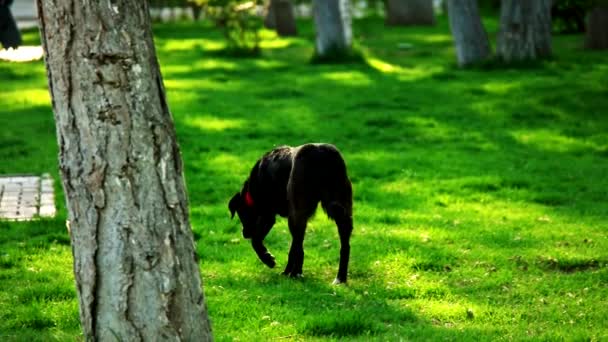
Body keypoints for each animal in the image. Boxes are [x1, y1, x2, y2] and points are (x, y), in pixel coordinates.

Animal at [227, 143, 352, 284]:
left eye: (242, 214)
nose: (244, 234)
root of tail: (319, 152)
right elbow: (290, 247)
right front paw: (286, 270)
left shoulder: (267, 216)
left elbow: (256, 241)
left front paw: (268, 259)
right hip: (342, 210)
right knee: (344, 247)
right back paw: (339, 277)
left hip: (297, 212)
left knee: (299, 247)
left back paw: (295, 273)